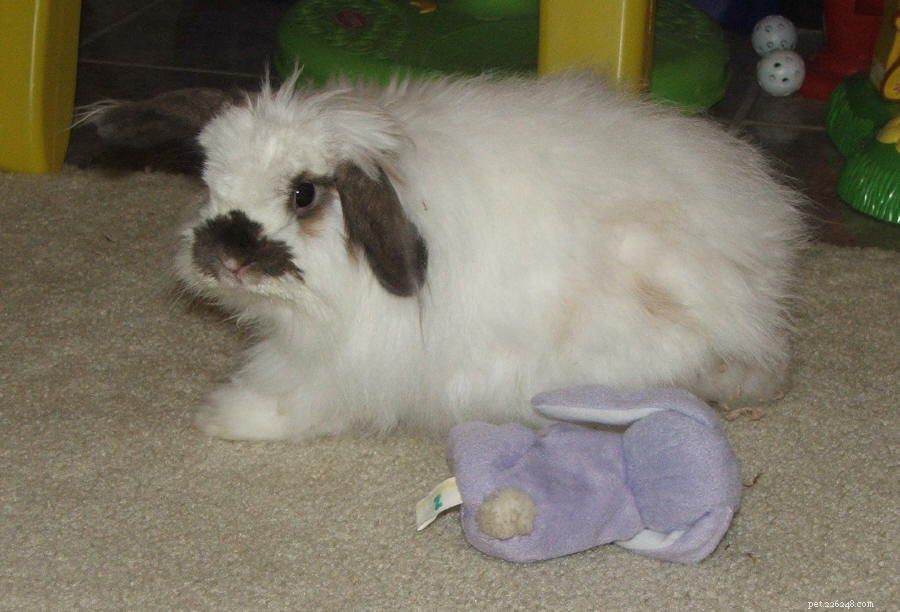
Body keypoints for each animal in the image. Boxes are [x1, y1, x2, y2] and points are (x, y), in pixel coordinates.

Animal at [173, 72, 806, 441]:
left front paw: (220, 417)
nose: (224, 258)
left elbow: (292, 402)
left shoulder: (338, 365)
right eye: (209, 184)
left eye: (304, 194)